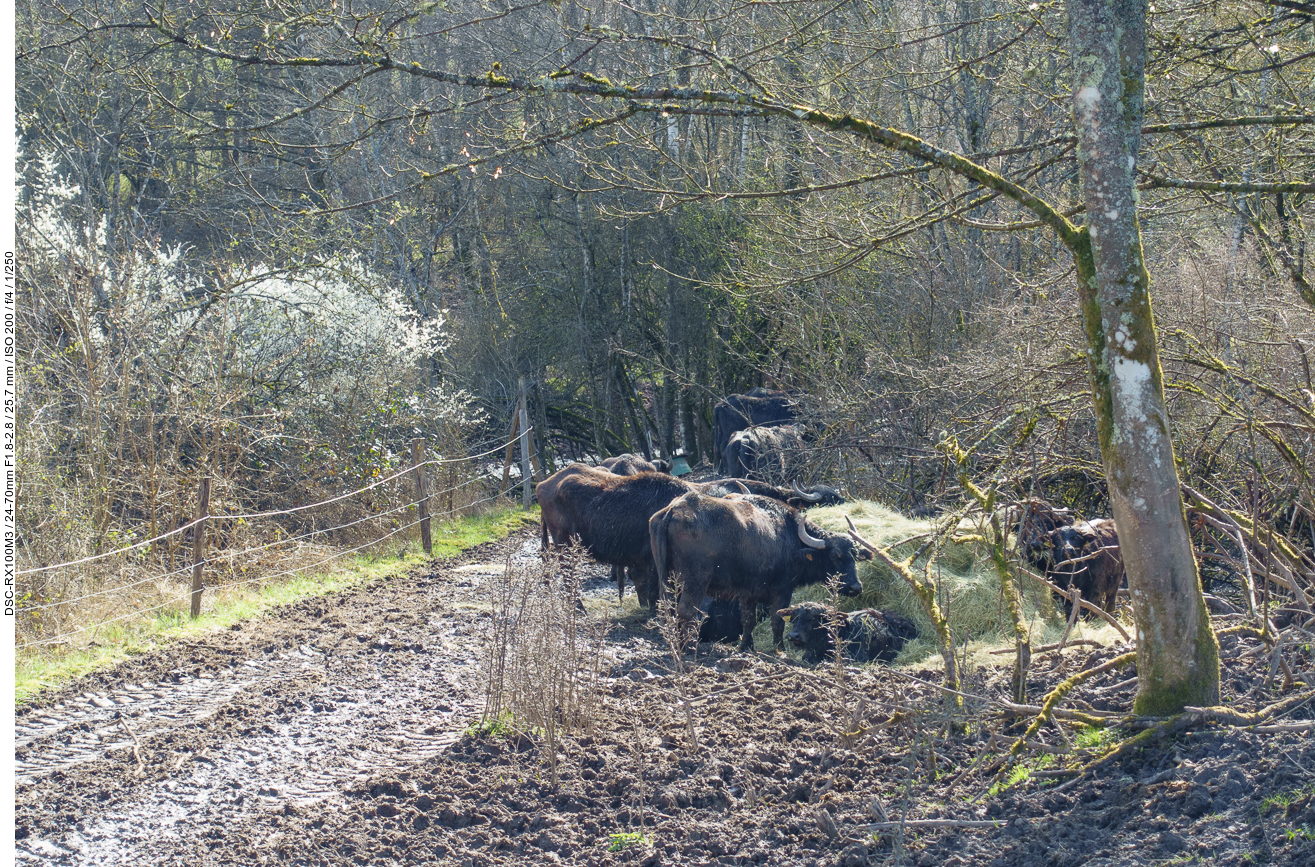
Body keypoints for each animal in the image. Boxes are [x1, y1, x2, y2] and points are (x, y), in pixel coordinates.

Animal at [649, 494, 873, 652]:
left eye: (854, 554)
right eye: (835, 555)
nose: (855, 587)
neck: (790, 535)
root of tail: (673, 510)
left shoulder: (747, 592)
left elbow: (748, 620)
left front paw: (746, 647)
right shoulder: (782, 590)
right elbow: (777, 620)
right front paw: (779, 649)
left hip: (665, 579)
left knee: (667, 609)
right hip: (694, 583)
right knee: (686, 612)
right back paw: (688, 647)